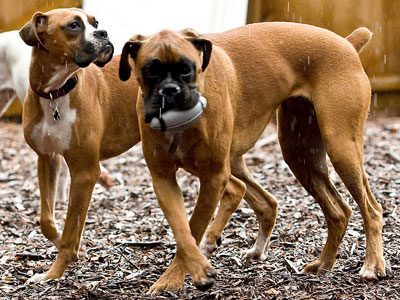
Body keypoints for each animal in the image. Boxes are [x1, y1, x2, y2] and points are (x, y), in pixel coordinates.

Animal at [21, 8, 141, 282]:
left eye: (95, 23)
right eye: (74, 25)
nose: (103, 33)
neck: (55, 93)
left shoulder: (84, 173)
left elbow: (70, 230)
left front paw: (52, 274)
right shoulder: (47, 159)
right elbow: (46, 220)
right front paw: (76, 249)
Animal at [120, 24, 386, 292]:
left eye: (187, 68)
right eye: (150, 71)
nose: (170, 91)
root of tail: (347, 42)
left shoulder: (214, 177)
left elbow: (194, 228)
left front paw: (175, 278)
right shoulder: (164, 179)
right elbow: (183, 231)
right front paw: (178, 276)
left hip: (340, 148)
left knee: (372, 210)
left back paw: (372, 265)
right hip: (299, 154)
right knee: (336, 211)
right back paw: (323, 264)